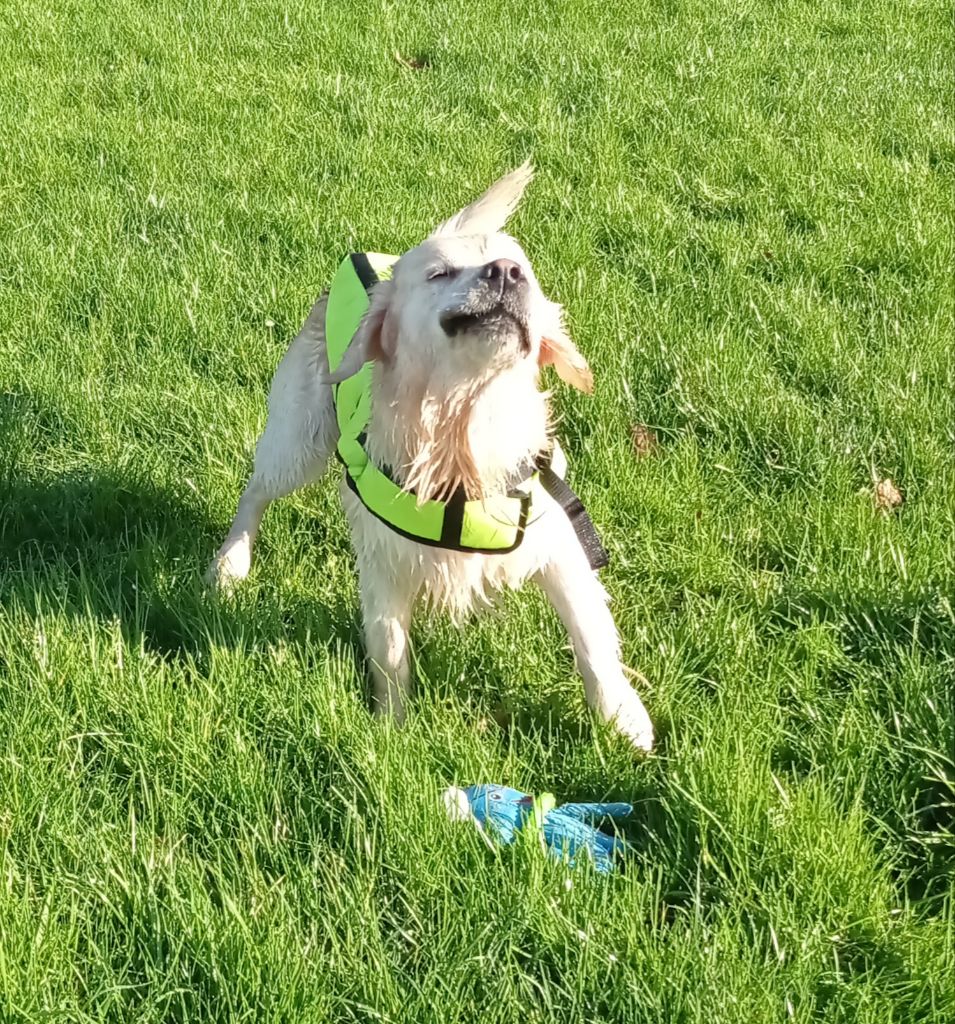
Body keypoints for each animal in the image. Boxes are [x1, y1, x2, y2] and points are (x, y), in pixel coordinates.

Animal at [206, 163, 655, 749]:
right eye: (440, 273)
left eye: (527, 273)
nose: (506, 272)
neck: (463, 430)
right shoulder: (383, 560)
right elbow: (390, 651)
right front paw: (392, 730)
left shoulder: (557, 539)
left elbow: (592, 638)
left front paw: (625, 720)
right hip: (298, 439)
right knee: (255, 492)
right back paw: (230, 565)